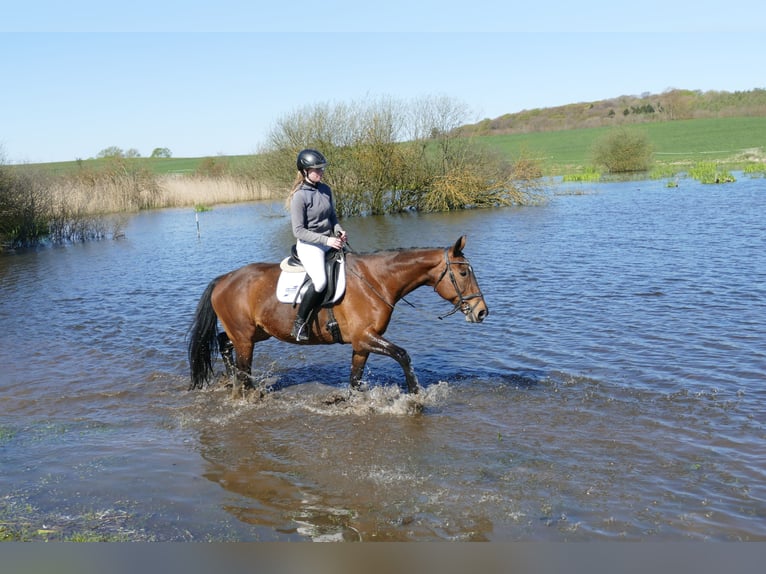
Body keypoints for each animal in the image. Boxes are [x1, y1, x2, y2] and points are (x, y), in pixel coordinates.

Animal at [187, 235, 488, 395]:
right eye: (463, 273)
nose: (482, 311)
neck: (376, 281)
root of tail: (224, 279)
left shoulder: (362, 344)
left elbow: (355, 379)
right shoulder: (364, 337)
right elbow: (403, 355)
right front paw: (416, 395)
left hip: (256, 333)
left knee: (224, 343)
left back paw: (230, 379)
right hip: (246, 338)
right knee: (242, 365)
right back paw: (242, 387)